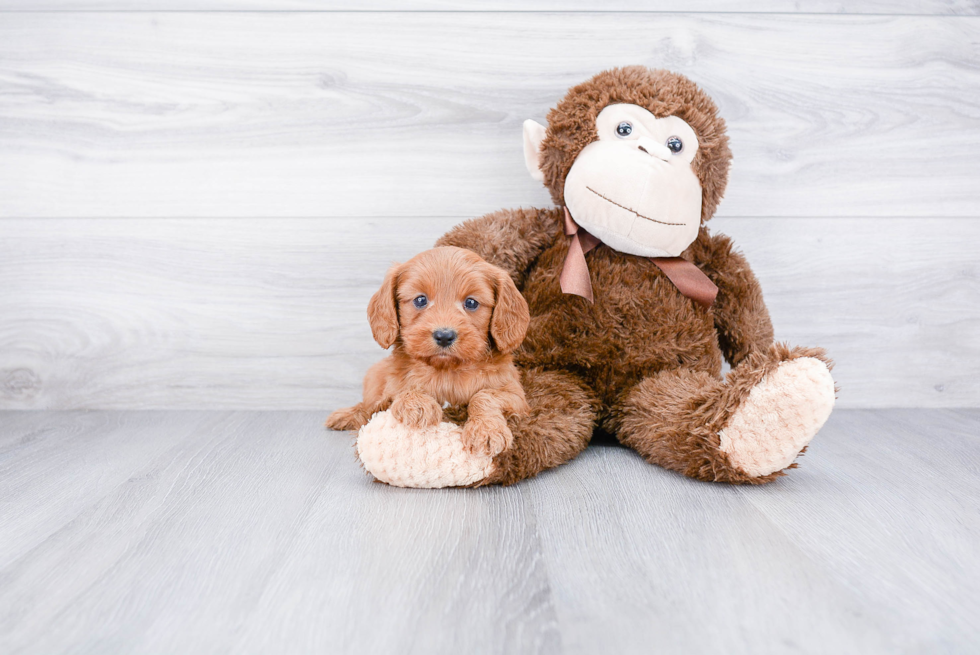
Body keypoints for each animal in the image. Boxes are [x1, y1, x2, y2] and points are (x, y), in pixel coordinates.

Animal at [328, 246, 528, 456]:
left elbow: (485, 395)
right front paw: (417, 403)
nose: (444, 336)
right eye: (420, 300)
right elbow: (401, 390)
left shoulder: (516, 395)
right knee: (367, 406)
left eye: (471, 303)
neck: (447, 371)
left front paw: (487, 431)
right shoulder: (392, 388)